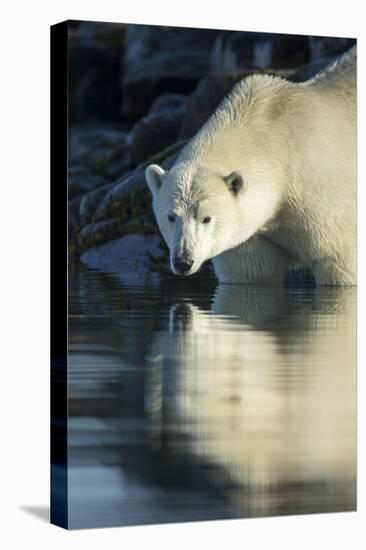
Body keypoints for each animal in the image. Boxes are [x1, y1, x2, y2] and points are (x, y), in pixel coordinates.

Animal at [145, 47, 354, 286]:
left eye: (206, 218)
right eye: (171, 216)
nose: (183, 261)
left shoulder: (324, 204)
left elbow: (338, 261)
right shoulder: (250, 237)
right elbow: (252, 272)